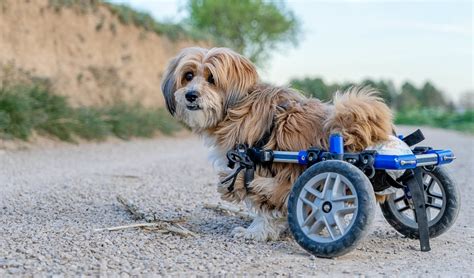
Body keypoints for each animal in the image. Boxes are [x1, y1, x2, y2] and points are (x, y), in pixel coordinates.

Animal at [161, 47, 390, 241]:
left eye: (212, 79)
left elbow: (267, 205)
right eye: (188, 76)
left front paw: (256, 231)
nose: (191, 95)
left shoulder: (260, 166)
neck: (240, 106)